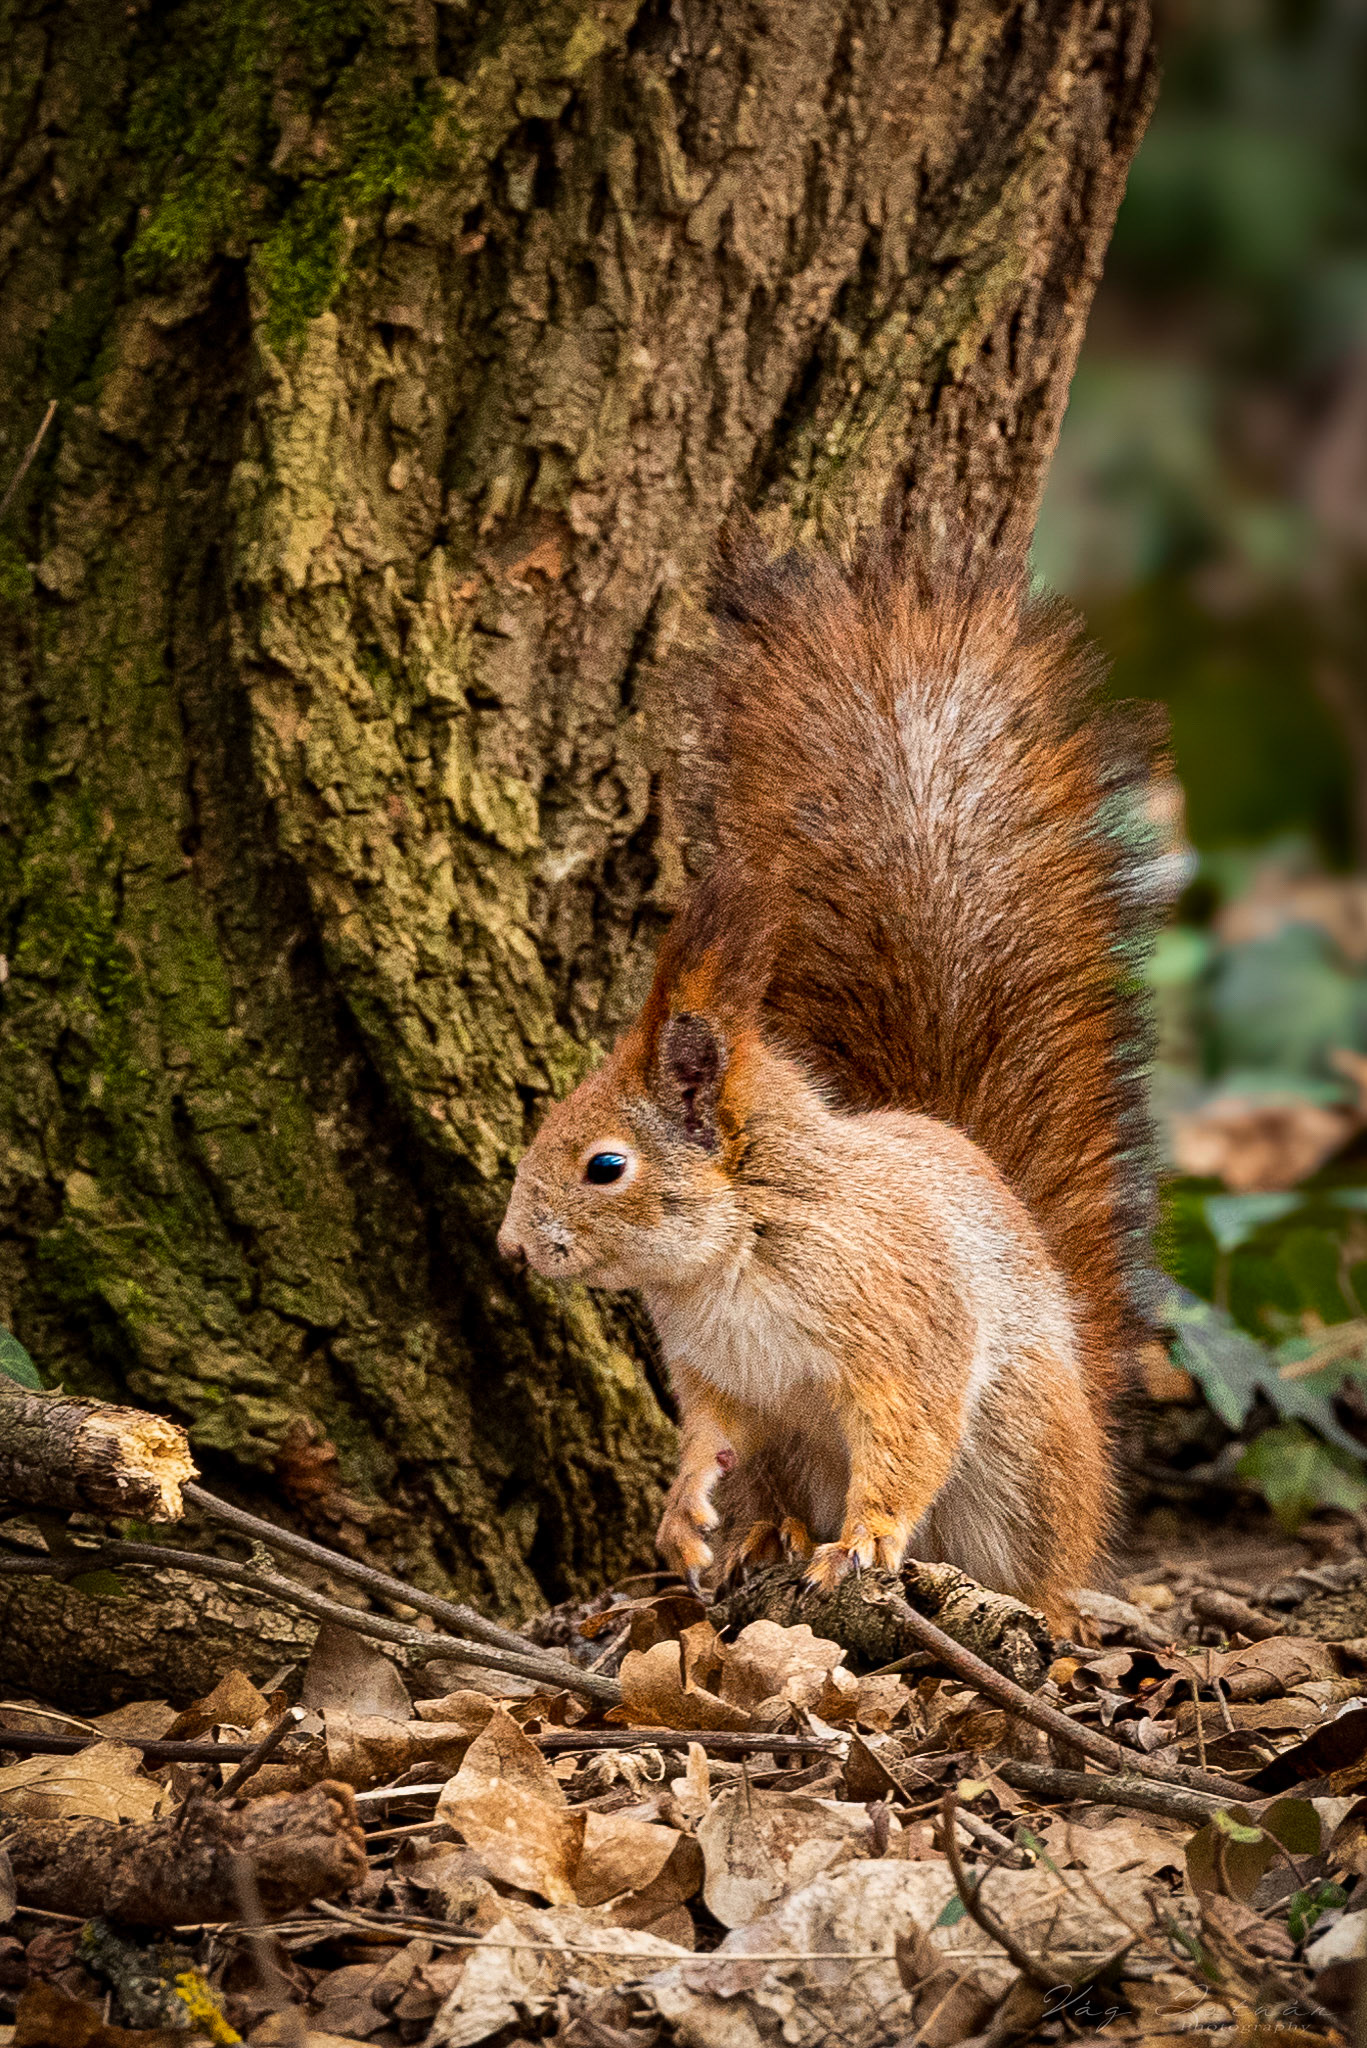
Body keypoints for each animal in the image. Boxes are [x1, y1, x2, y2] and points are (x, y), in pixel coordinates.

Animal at [498, 532, 1165, 1629]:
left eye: (604, 1165)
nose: (511, 1247)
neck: (734, 1251)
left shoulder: (898, 1331)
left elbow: (906, 1435)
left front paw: (864, 1536)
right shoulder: (720, 1378)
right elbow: (710, 1433)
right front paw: (683, 1507)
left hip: (1024, 1454)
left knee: (1033, 1558)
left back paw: (1046, 1609)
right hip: (800, 1457)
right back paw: (762, 1533)